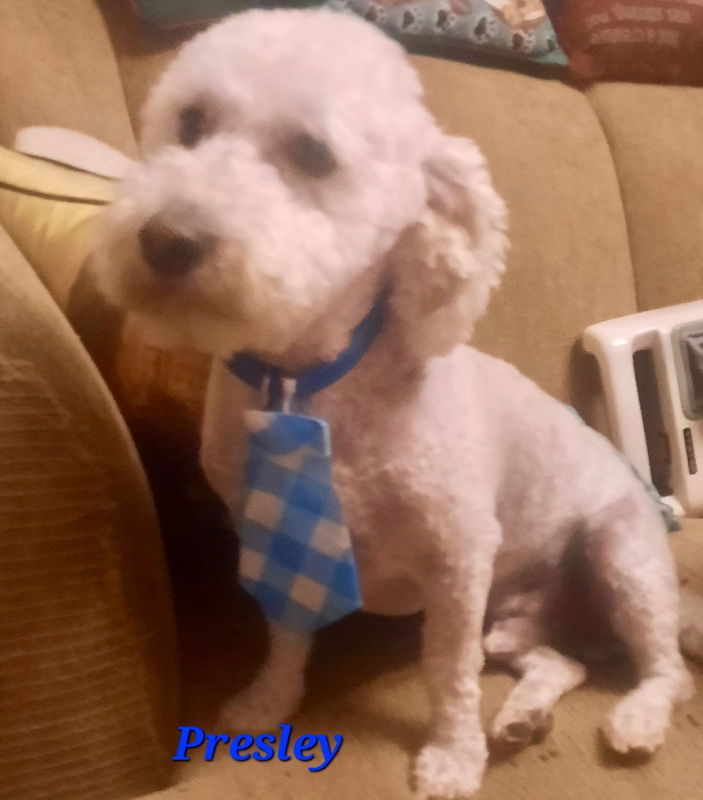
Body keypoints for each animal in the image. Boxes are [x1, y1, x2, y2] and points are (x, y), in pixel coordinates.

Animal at [96, 7, 696, 800]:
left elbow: (447, 672)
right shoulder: (276, 539)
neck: (307, 386)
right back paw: (523, 716)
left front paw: (451, 754)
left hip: (620, 559)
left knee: (668, 671)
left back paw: (635, 718)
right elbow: (285, 638)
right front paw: (268, 701)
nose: (166, 240)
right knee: (557, 660)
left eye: (313, 153)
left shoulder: (457, 564)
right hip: (508, 618)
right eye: (190, 122)